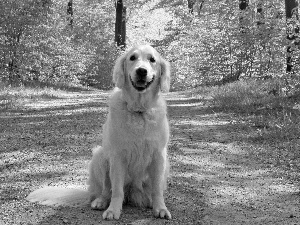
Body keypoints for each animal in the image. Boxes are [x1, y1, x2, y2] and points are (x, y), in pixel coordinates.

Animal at [27, 44, 171, 221]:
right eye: (132, 58)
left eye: (152, 60)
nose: (142, 71)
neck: (138, 110)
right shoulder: (117, 156)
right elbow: (116, 190)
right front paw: (113, 210)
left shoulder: (159, 155)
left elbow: (157, 189)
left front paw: (160, 208)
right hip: (100, 156)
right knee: (105, 191)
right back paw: (101, 202)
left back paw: (149, 201)